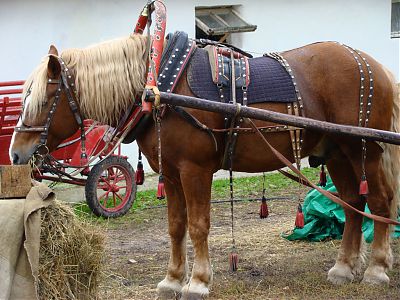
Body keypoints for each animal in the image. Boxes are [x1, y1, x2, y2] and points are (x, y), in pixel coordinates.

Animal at [9, 34, 400, 298]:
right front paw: (171, 279)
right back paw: (344, 267)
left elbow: (198, 226)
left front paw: (197, 282)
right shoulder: (170, 172)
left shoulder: (194, 170)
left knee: (379, 202)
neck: (159, 86)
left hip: (364, 150)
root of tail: (374, 65)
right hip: (337, 152)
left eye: (44, 99)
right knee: (352, 203)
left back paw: (377, 269)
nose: (15, 153)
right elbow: (176, 226)